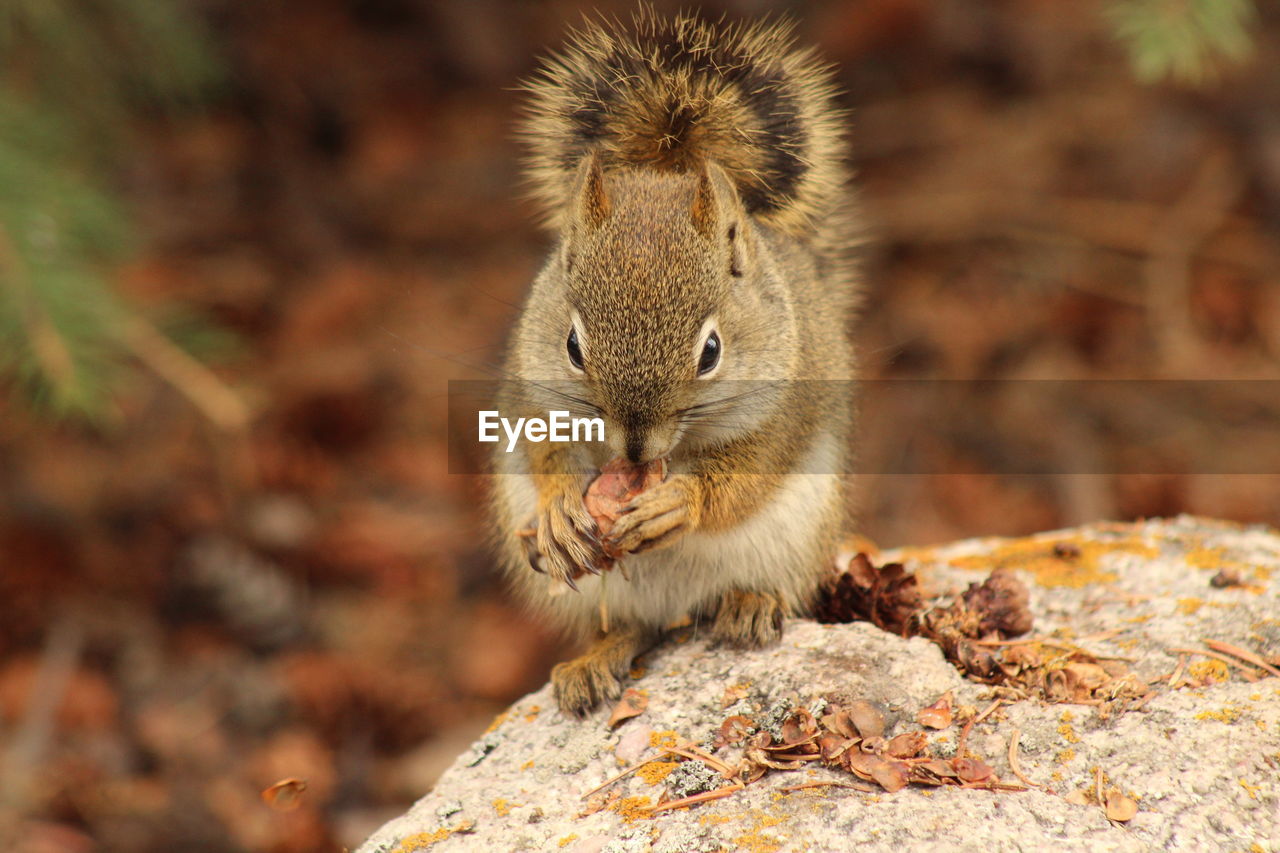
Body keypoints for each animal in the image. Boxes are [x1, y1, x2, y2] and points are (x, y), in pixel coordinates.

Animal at [488, 9, 860, 712]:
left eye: (711, 352)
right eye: (571, 346)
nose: (636, 454)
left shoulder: (784, 416)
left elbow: (741, 478)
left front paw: (678, 502)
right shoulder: (530, 396)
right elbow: (544, 455)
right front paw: (558, 511)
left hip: (795, 540)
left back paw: (750, 604)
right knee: (633, 627)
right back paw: (595, 660)